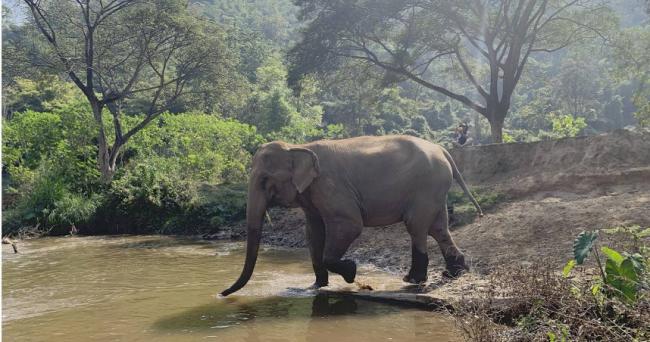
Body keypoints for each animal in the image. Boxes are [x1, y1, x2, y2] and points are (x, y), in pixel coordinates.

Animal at [220, 135, 478, 296]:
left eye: (265, 180)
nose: (221, 293)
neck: (298, 146)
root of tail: (442, 149)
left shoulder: (331, 187)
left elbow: (349, 225)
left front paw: (352, 272)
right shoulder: (312, 194)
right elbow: (313, 232)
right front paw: (316, 286)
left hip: (426, 186)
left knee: (416, 226)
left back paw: (412, 280)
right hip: (434, 189)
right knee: (438, 227)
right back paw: (454, 272)